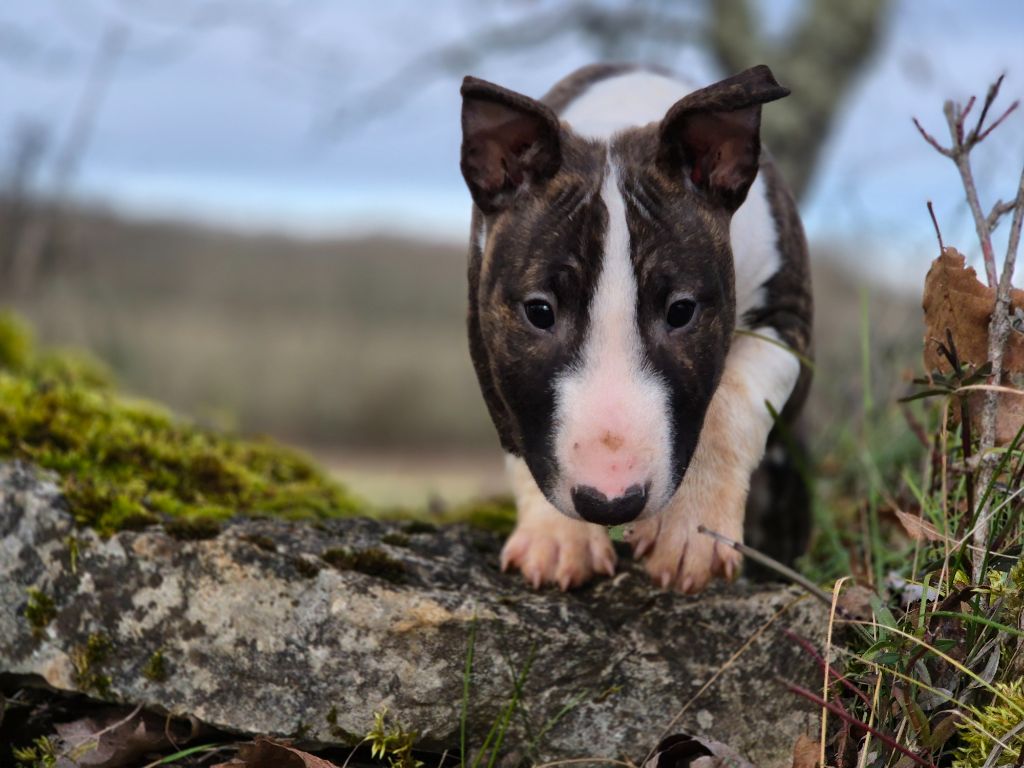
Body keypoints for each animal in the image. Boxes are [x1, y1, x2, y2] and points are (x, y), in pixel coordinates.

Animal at [459, 64, 812, 593]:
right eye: (539, 311)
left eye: (681, 311)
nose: (610, 502)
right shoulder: (484, 332)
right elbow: (521, 437)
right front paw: (558, 540)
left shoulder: (788, 320)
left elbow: (730, 403)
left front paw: (690, 533)